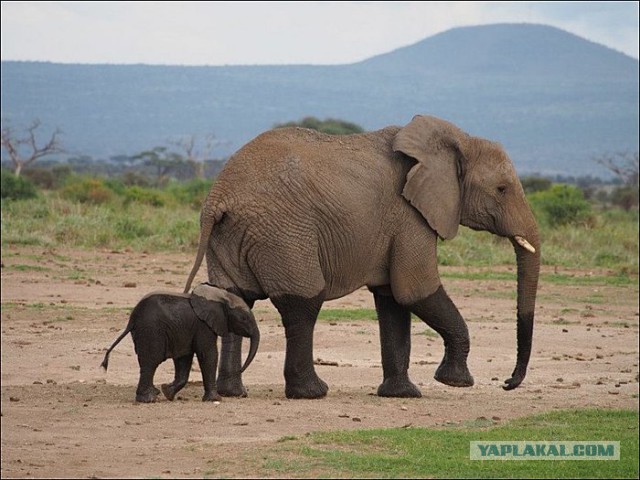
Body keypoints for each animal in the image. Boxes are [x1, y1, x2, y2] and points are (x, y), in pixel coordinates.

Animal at [100, 284, 260, 404]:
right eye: (244, 318)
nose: (240, 370)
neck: (221, 296)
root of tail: (132, 318)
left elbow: (184, 358)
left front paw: (167, 392)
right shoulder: (203, 326)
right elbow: (208, 354)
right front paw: (215, 399)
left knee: (147, 363)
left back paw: (155, 394)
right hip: (151, 331)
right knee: (150, 362)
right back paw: (148, 399)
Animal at [184, 114, 540, 400]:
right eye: (502, 189)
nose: (508, 382)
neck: (456, 141)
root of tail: (218, 196)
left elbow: (392, 299)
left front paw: (402, 395)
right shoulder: (409, 216)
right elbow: (415, 290)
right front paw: (455, 382)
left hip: (232, 234)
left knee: (234, 297)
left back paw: (233, 393)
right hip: (283, 233)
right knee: (303, 302)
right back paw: (311, 393)